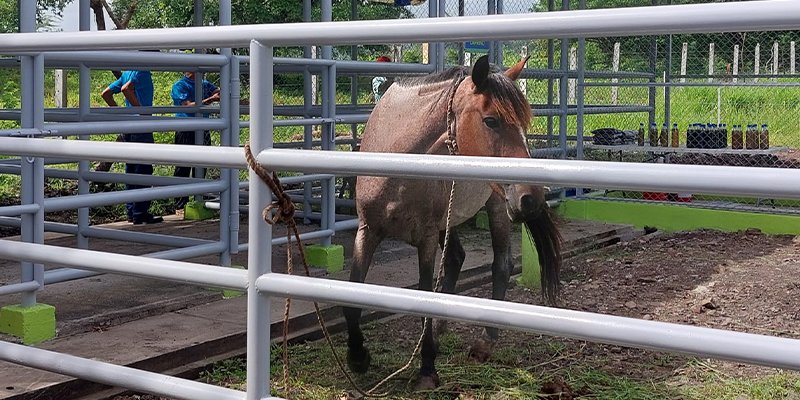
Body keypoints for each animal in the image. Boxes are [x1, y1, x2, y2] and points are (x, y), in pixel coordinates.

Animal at [346, 54, 564, 390]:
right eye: (491, 120)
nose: (532, 197)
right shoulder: (367, 231)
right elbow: (352, 293)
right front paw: (357, 357)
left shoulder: (424, 238)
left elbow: (423, 296)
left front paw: (426, 369)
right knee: (456, 260)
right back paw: (440, 330)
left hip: (496, 207)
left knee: (501, 265)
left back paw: (485, 342)